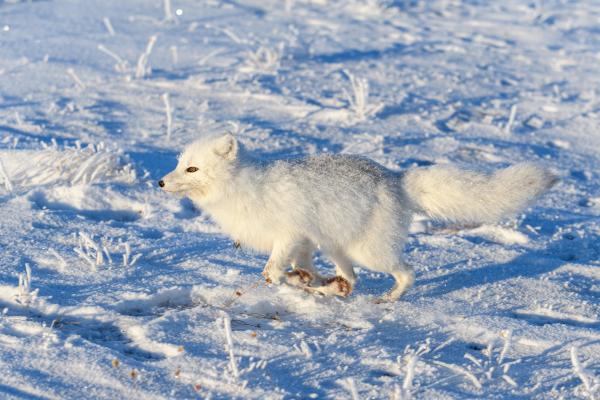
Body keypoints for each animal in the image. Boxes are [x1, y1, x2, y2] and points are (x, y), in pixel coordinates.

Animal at [159, 134, 556, 300]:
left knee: (407, 271)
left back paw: (389, 300)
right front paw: (312, 282)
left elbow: (272, 273)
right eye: (180, 163)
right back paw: (338, 288)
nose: (161, 181)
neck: (244, 188)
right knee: (351, 276)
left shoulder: (289, 234)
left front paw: (301, 282)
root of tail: (395, 178)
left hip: (371, 252)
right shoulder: (305, 242)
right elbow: (299, 271)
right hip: (338, 247)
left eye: (193, 169)